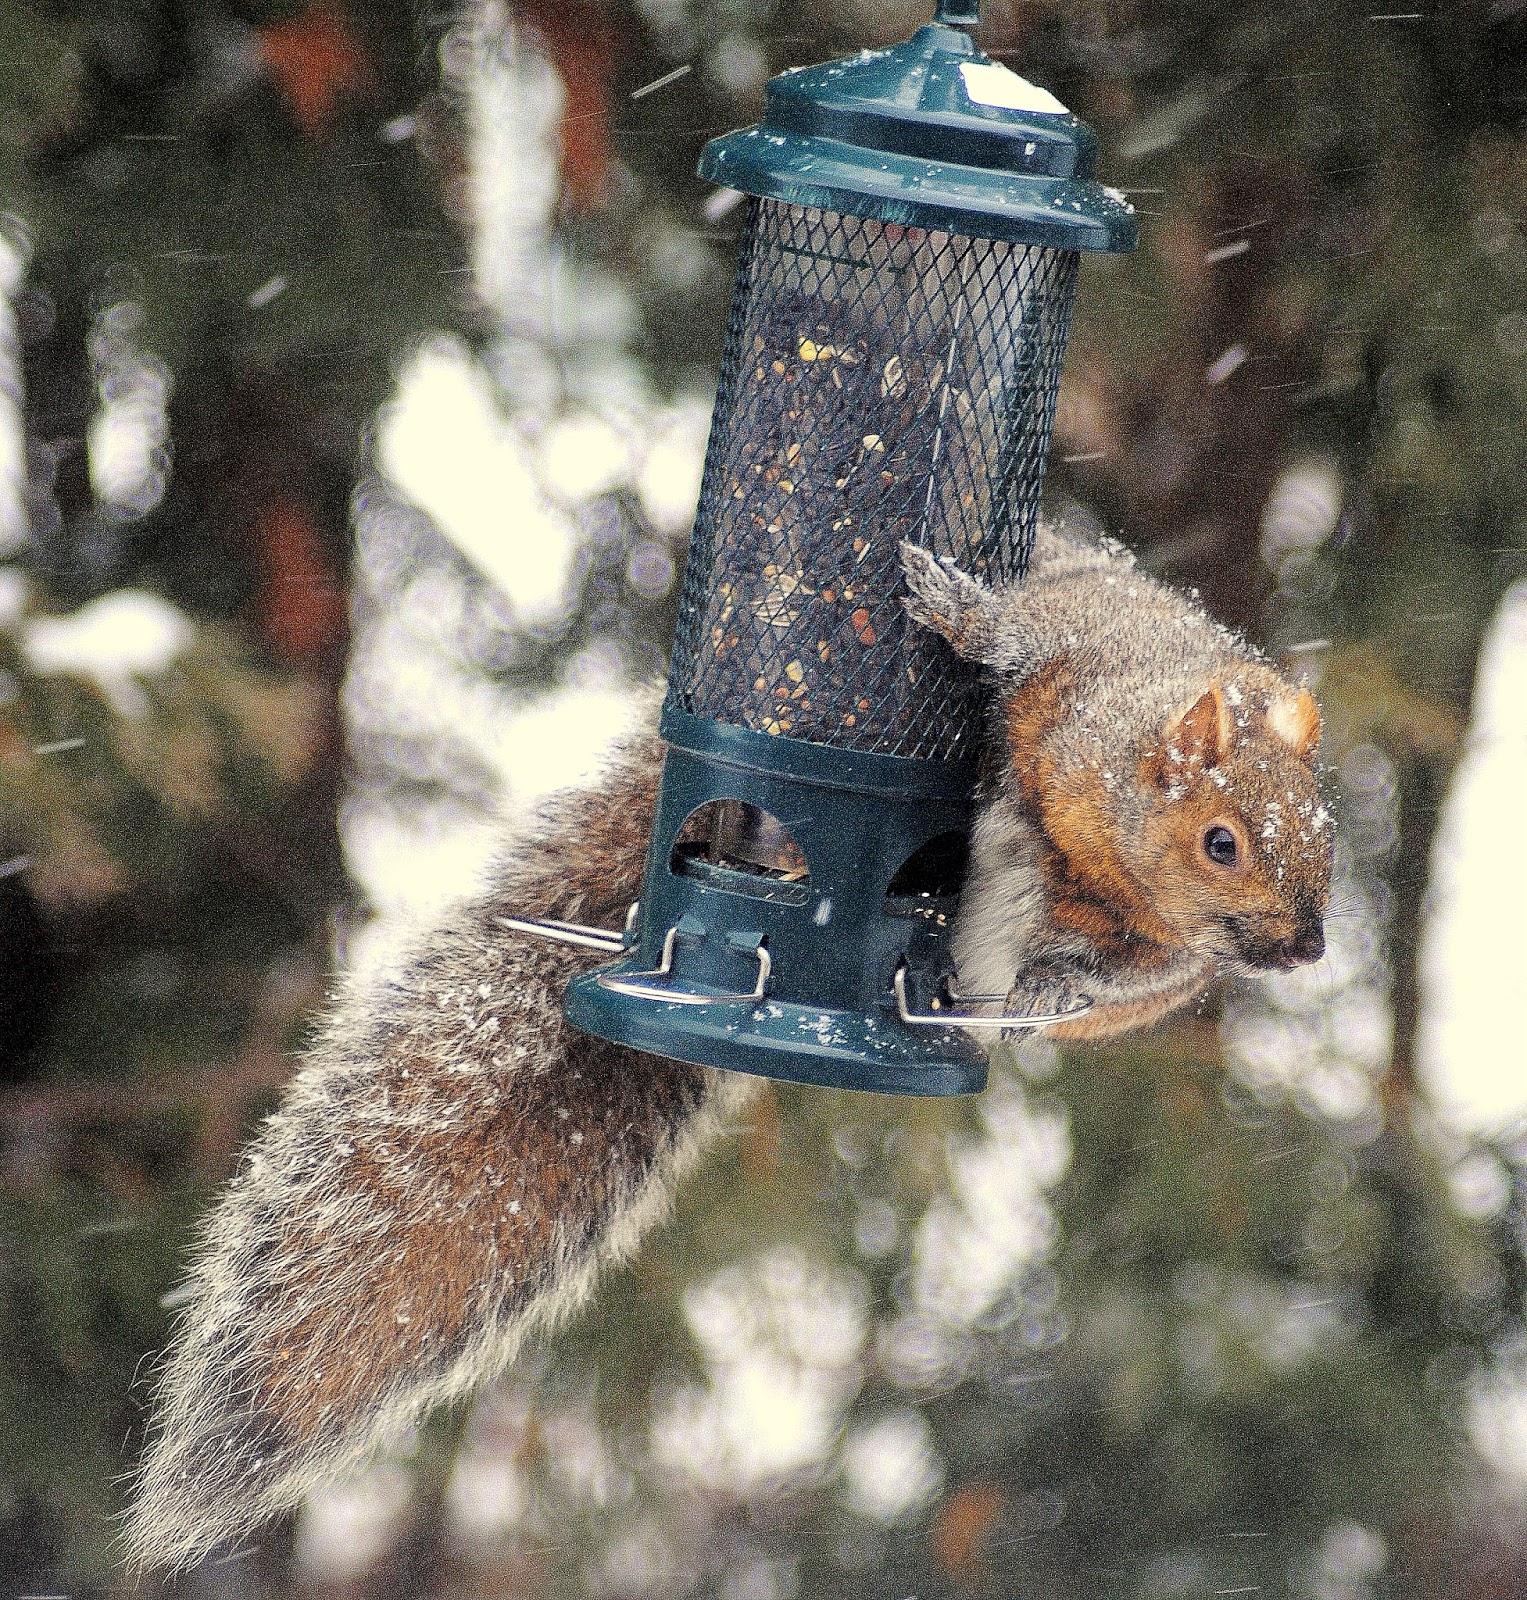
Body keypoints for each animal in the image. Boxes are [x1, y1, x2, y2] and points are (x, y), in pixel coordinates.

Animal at [125, 512, 1332, 1570]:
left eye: (1327, 844)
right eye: (1222, 842)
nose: (1304, 948)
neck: (1104, 840)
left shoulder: (1154, 955)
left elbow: (1111, 977)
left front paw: (1048, 981)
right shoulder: (1078, 663)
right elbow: (1010, 643)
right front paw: (957, 607)